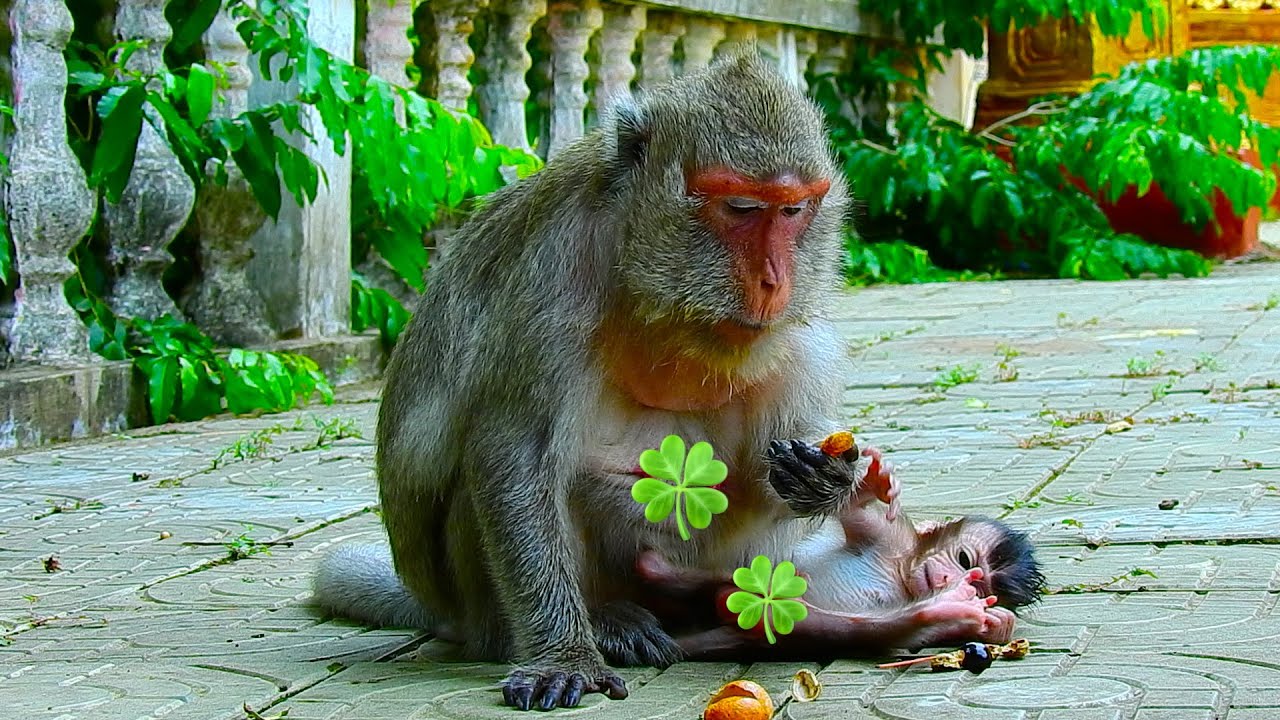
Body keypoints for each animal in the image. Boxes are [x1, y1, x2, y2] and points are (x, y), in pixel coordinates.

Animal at [310, 50, 880, 711]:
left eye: (793, 211)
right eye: (740, 208)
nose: (773, 279)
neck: (649, 281)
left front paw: (825, 477)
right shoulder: (555, 273)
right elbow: (513, 453)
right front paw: (564, 655)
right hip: (482, 601)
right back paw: (602, 622)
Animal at [633, 440, 1047, 660]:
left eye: (981, 586)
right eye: (964, 559)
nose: (951, 578)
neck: (901, 570)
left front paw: (970, 618)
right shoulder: (891, 534)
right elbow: (860, 516)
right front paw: (867, 486)